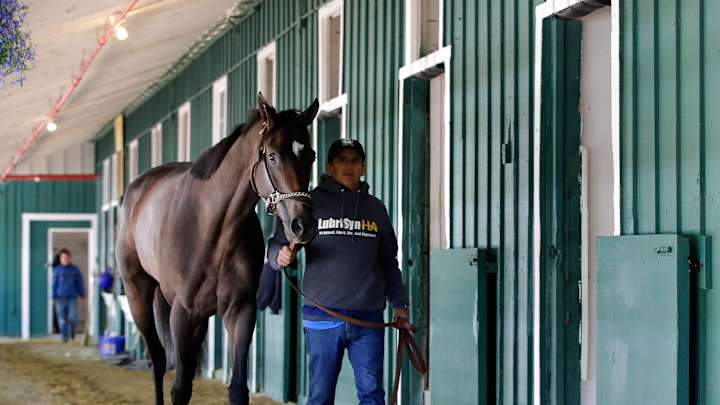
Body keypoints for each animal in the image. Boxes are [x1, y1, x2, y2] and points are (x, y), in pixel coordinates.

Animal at [115, 93, 319, 405]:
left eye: (311, 155)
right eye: (272, 156)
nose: (302, 225)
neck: (213, 231)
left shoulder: (240, 312)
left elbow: (237, 389)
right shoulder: (182, 315)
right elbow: (180, 389)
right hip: (138, 293)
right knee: (157, 360)